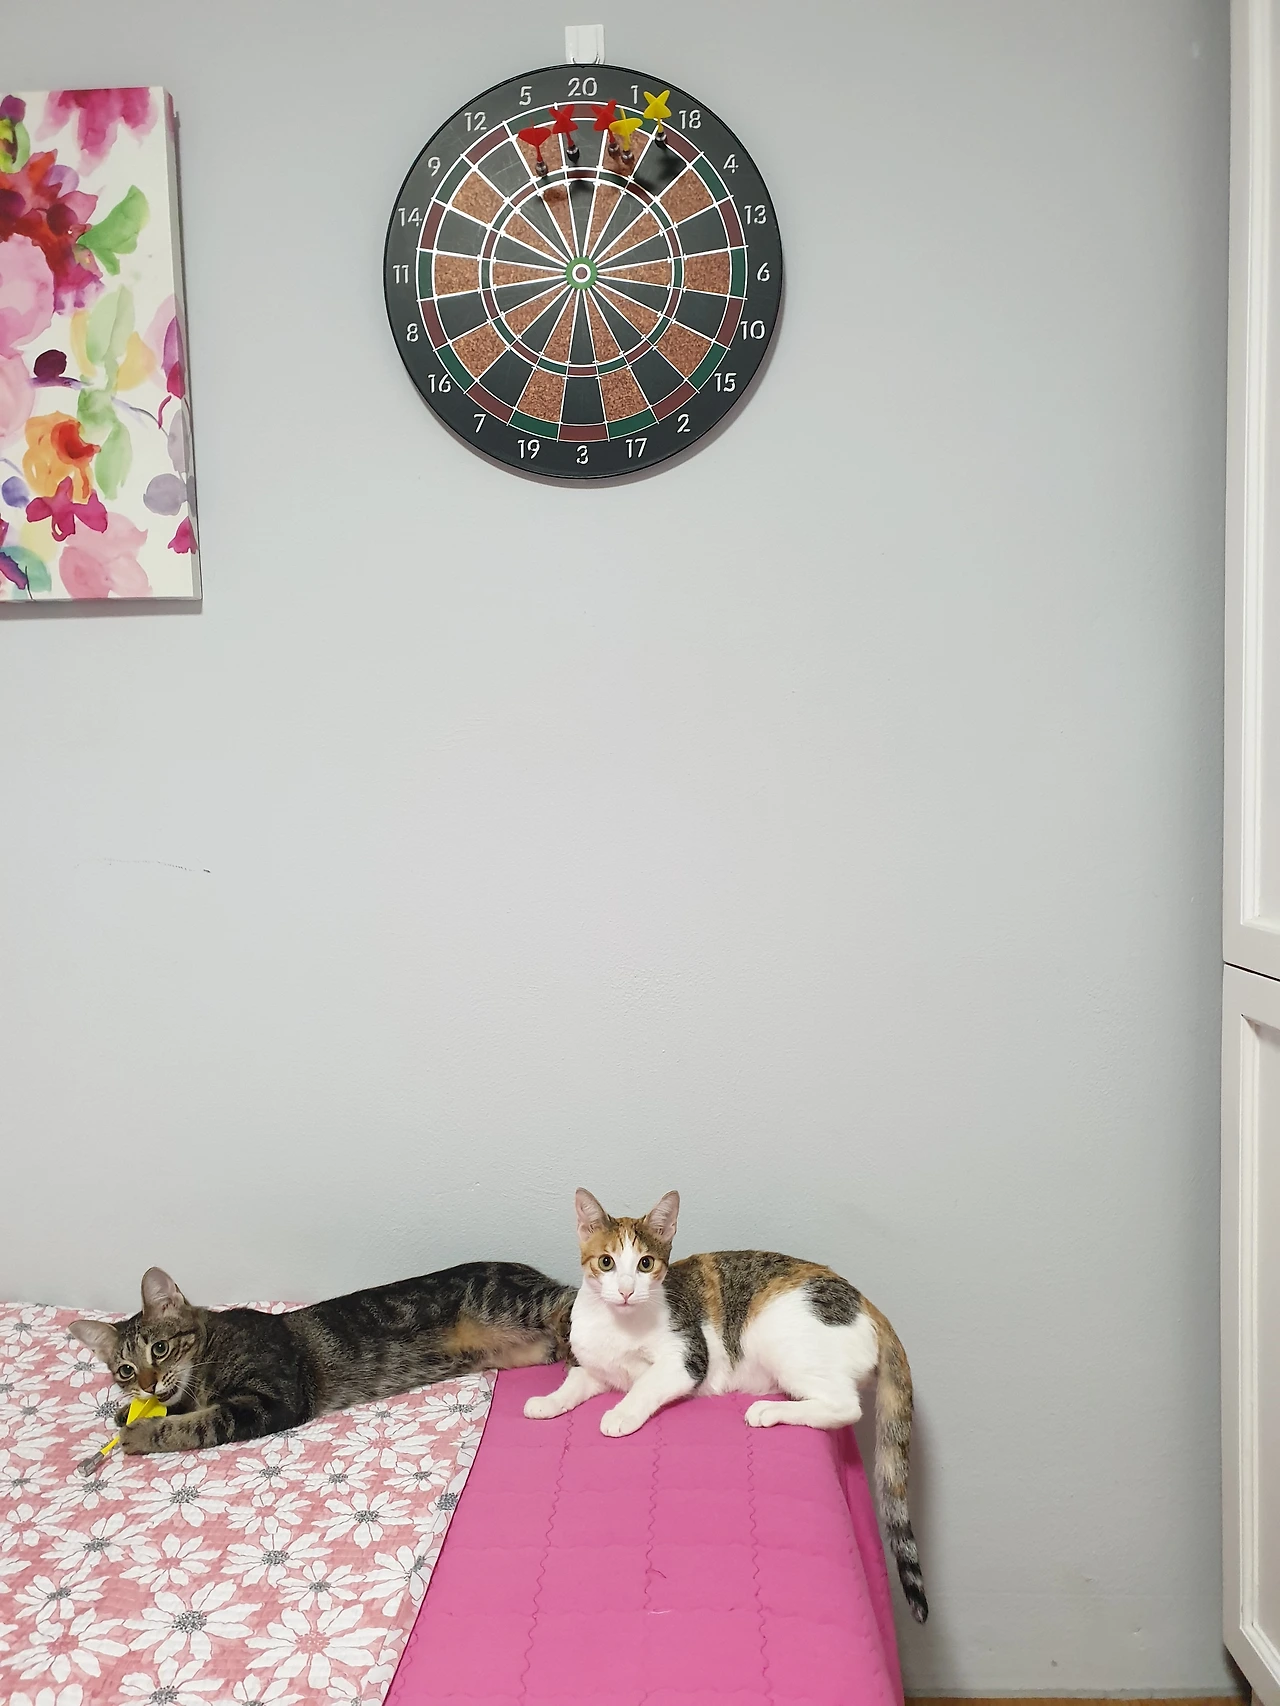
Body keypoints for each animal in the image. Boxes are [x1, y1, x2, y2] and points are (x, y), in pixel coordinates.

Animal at [71, 1260, 574, 1456]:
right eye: (125, 1370)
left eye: (159, 1348)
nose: (147, 1383)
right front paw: (128, 1411)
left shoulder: (273, 1399)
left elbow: (198, 1423)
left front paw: (141, 1432)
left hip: (515, 1302)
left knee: (574, 1301)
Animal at [523, 1188, 928, 1623]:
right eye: (606, 1262)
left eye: (645, 1263)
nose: (628, 1290)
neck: (619, 1326)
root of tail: (867, 1304)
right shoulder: (596, 1368)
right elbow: (574, 1382)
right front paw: (547, 1402)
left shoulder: (686, 1358)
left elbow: (645, 1384)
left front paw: (621, 1413)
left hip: (779, 1334)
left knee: (845, 1406)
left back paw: (769, 1410)